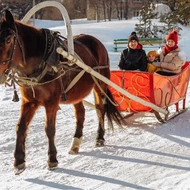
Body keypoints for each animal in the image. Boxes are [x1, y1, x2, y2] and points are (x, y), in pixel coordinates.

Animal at [0, 10, 123, 174]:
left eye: (8, 40)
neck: (43, 60)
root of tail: (95, 41)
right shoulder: (29, 101)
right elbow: (21, 127)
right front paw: (19, 161)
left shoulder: (51, 102)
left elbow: (50, 129)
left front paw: (52, 159)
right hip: (77, 92)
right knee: (80, 113)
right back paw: (76, 142)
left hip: (100, 83)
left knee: (100, 108)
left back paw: (99, 137)